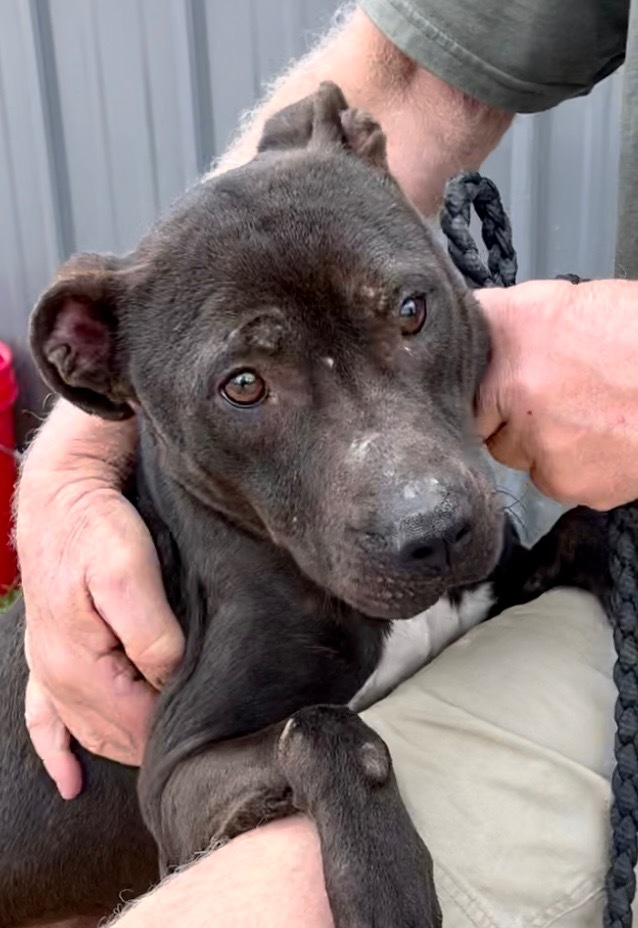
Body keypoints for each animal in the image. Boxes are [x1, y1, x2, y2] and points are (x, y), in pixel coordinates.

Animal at [0, 83, 608, 924]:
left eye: (412, 308)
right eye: (243, 385)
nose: (432, 534)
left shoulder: (496, 582)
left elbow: (585, 527)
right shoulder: (175, 783)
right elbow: (324, 727)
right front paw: (382, 877)